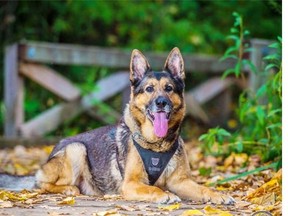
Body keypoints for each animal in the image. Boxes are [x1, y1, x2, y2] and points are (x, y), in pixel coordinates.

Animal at [0, 47, 234, 204]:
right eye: (149, 89)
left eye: (169, 88)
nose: (161, 103)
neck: (157, 146)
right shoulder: (131, 184)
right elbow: (153, 190)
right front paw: (164, 195)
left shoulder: (181, 181)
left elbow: (202, 188)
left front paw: (217, 195)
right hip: (76, 149)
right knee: (40, 184)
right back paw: (68, 189)